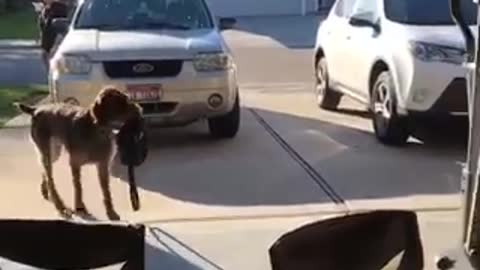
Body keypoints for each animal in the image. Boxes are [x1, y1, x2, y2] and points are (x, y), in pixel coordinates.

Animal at [15, 88, 142, 219]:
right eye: (120, 103)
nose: (140, 109)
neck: (97, 129)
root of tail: (35, 110)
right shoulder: (75, 163)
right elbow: (78, 187)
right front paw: (80, 207)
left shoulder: (103, 165)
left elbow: (106, 191)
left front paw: (111, 212)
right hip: (47, 151)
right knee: (50, 179)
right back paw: (61, 206)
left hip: (54, 152)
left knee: (44, 170)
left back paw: (45, 191)